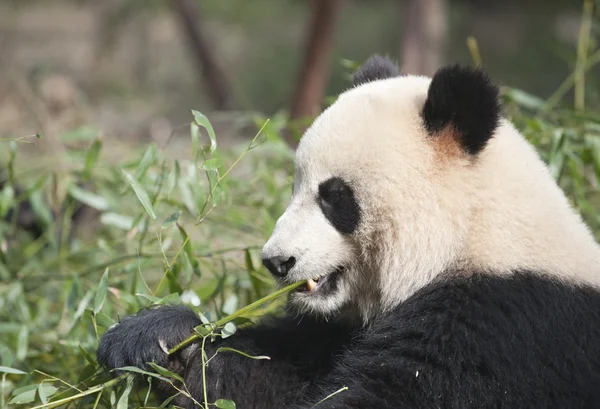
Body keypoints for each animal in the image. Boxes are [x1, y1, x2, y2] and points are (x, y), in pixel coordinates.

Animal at [96, 55, 600, 408]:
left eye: (335, 197)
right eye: (295, 186)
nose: (276, 262)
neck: (473, 234)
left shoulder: (498, 326)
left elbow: (389, 395)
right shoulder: (331, 332)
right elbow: (264, 371)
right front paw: (160, 339)